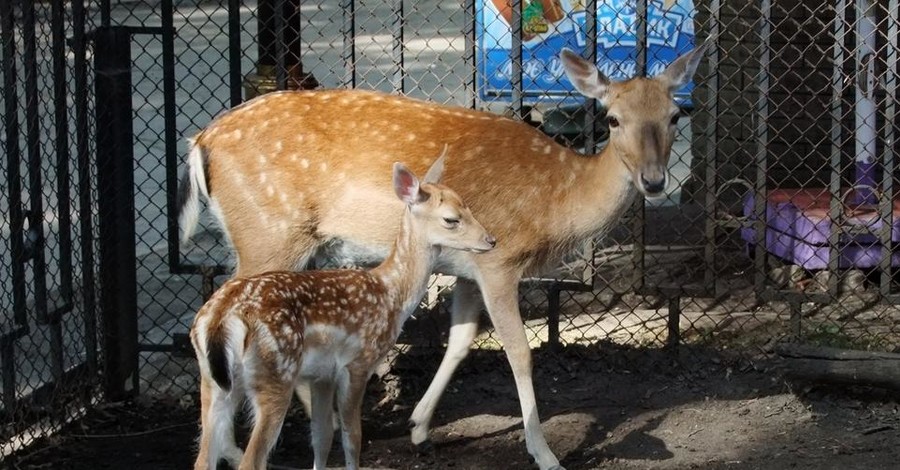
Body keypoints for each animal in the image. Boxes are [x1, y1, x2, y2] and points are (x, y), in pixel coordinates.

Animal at [178, 45, 712, 470]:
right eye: (613, 118)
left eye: (675, 115)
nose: (654, 181)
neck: (556, 204)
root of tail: (199, 142)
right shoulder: (502, 261)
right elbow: (520, 352)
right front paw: (543, 453)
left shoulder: (470, 267)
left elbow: (460, 339)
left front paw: (419, 428)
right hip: (268, 235)